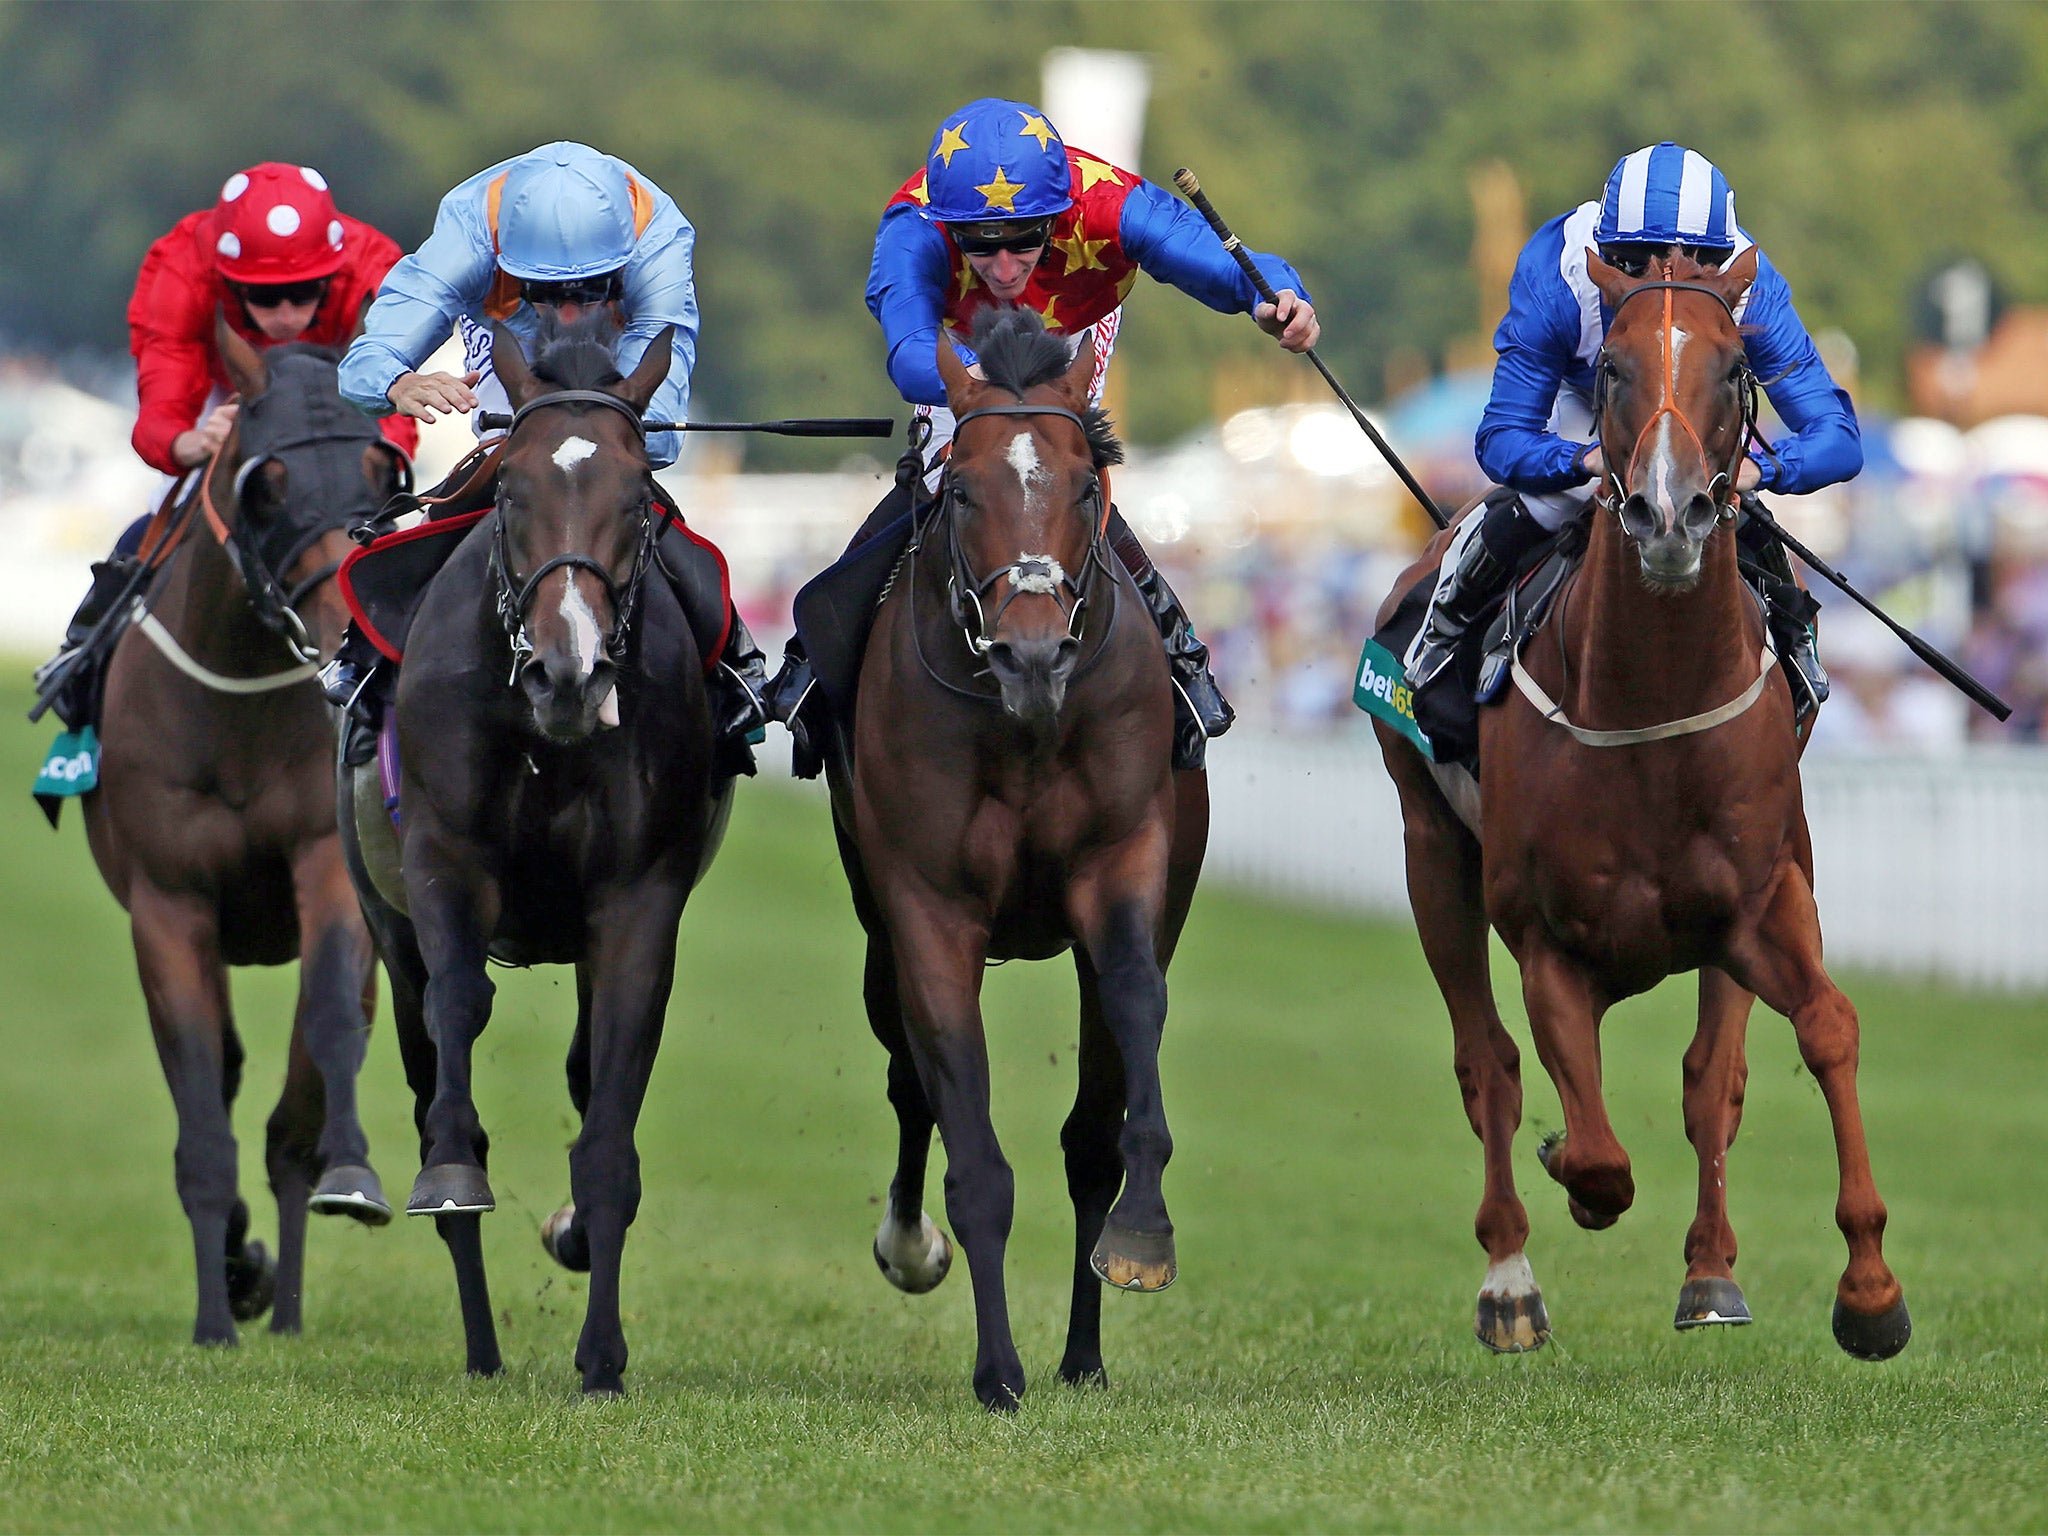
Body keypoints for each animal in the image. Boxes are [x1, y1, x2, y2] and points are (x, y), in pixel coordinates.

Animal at [81, 325, 405, 1343]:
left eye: (383, 469)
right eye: (267, 483)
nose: (347, 630)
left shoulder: (326, 868)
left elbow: (330, 1027)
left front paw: (351, 1172)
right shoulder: (167, 904)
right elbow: (199, 1103)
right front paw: (215, 1312)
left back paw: (290, 1304)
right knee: (222, 1074)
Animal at [344, 319, 737, 1400]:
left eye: (637, 497)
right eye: (512, 492)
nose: (571, 671)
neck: (546, 736)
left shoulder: (638, 901)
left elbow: (607, 1121)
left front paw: (601, 1355)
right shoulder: (442, 865)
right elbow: (459, 1021)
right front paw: (451, 1175)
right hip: (381, 915)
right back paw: (480, 1347)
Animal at [831, 309, 1204, 1417]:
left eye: (1084, 485)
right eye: (960, 489)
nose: (1031, 655)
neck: (1026, 726)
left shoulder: (1123, 869)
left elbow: (1131, 1022)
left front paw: (1142, 1235)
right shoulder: (927, 907)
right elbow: (969, 1141)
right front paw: (996, 1369)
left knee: (1086, 1128)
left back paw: (1084, 1355)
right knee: (907, 1075)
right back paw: (911, 1244)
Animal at [1368, 256, 1908, 1368]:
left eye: (1738, 366)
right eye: (1609, 369)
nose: (1670, 516)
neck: (1649, 698)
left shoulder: (1758, 900)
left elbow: (1816, 1031)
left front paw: (1869, 1288)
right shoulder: (1545, 936)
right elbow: (1593, 1150)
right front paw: (1567, 1186)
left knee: (1711, 1076)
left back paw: (1710, 1272)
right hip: (1428, 848)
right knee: (1486, 1062)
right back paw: (1509, 1283)